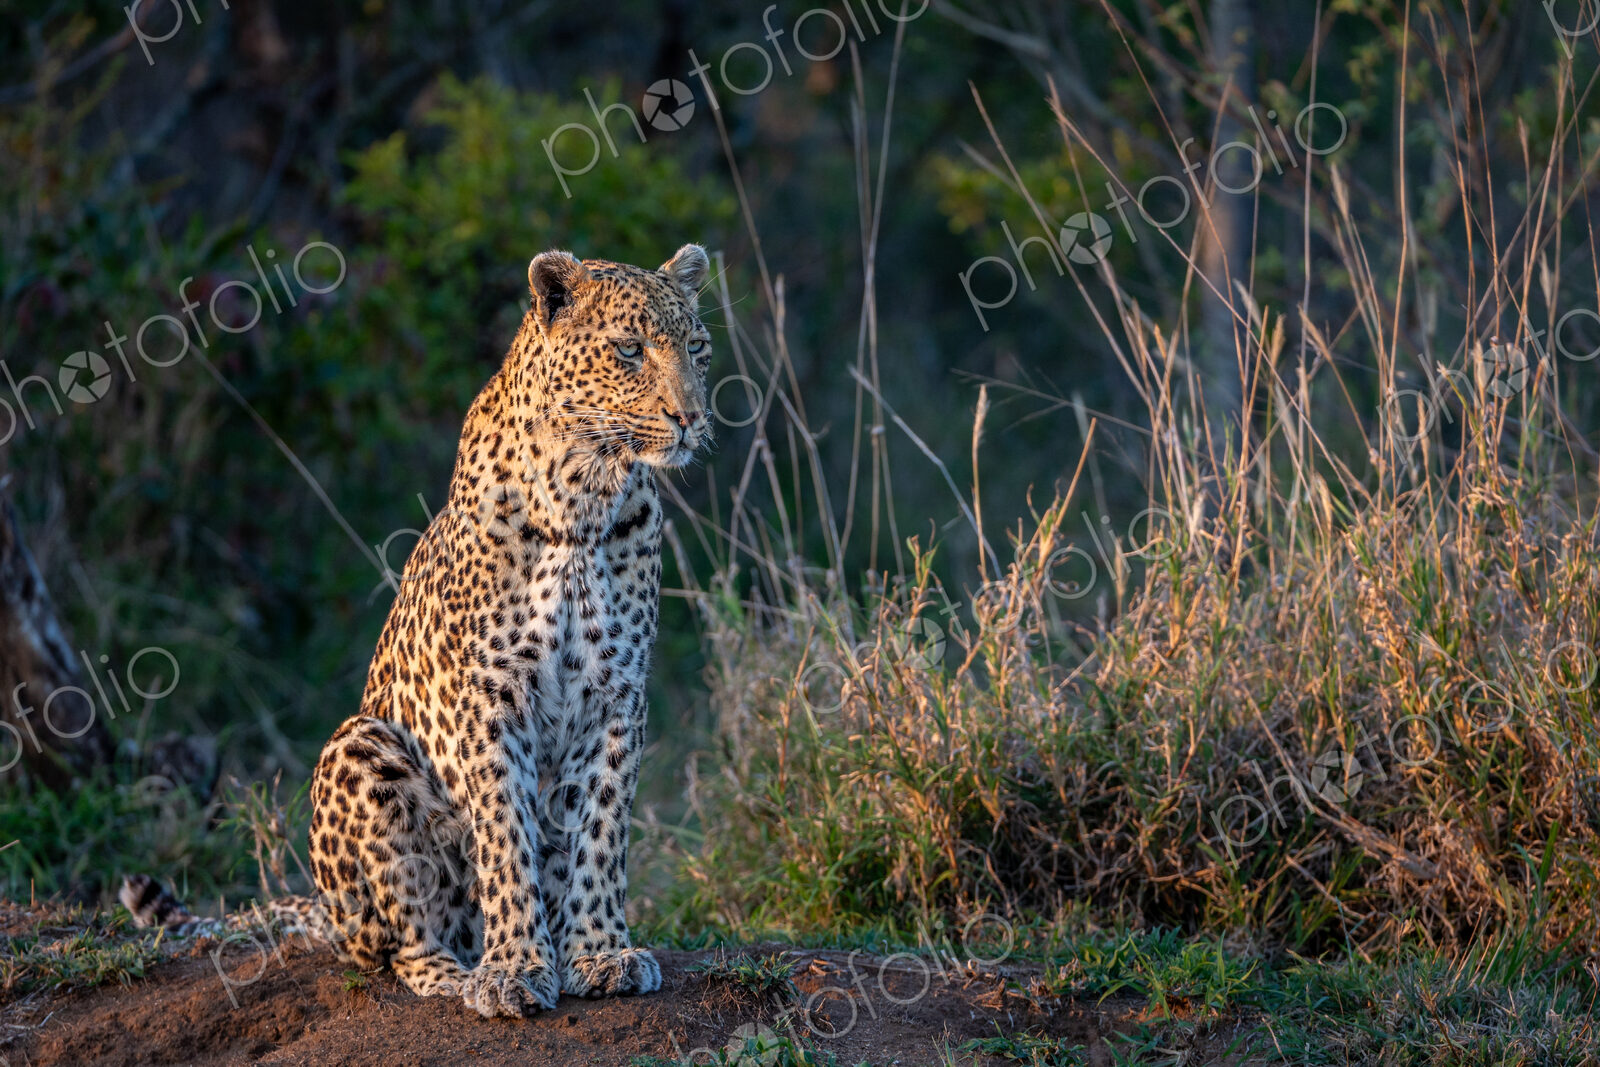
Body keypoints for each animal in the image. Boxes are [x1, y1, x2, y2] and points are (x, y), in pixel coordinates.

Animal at [123, 243, 714, 1019]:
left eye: (697, 349)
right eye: (629, 350)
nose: (691, 417)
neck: (585, 493)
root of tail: (325, 910)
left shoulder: (617, 690)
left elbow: (602, 826)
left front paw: (599, 951)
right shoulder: (490, 693)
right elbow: (505, 834)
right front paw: (516, 968)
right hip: (360, 749)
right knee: (398, 945)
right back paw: (460, 972)